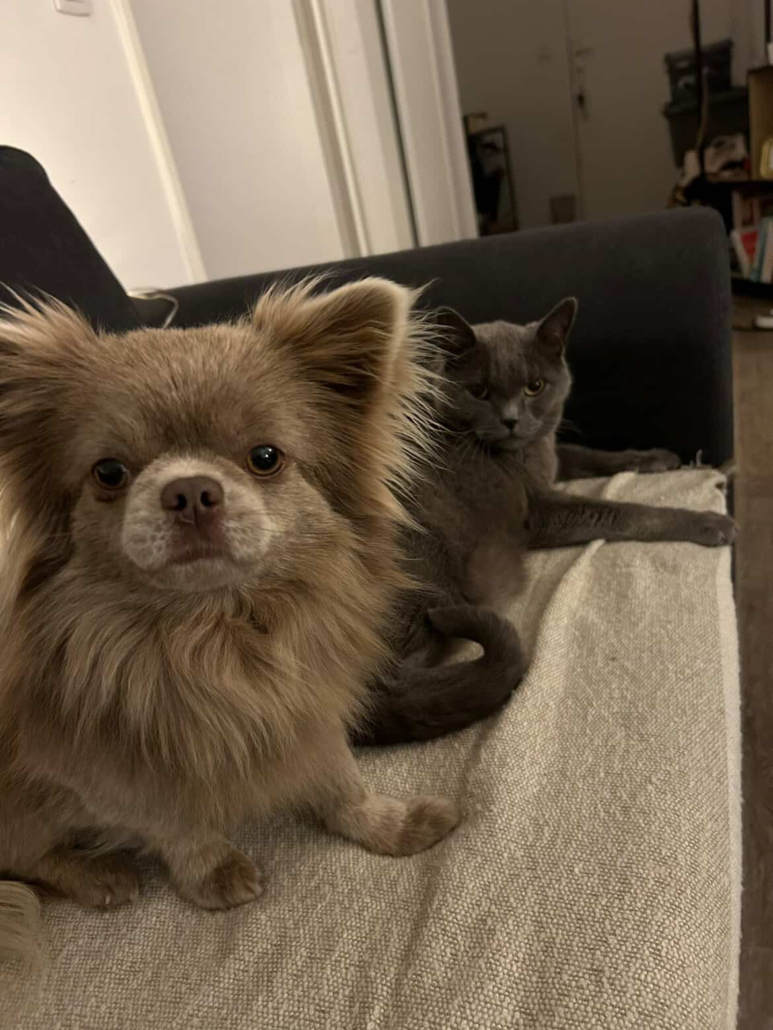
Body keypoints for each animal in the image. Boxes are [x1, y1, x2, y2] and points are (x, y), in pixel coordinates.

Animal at [0, 278, 459, 963]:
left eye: (265, 457)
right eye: (108, 473)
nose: (190, 490)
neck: (212, 632)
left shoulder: (307, 710)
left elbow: (340, 780)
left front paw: (385, 824)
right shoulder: (100, 763)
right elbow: (171, 819)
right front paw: (211, 871)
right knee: (26, 860)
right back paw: (94, 873)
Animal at [359, 298, 735, 746]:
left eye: (534, 387)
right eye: (479, 391)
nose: (511, 420)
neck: (519, 454)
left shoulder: (549, 455)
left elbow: (587, 453)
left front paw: (656, 457)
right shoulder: (538, 513)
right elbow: (623, 511)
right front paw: (710, 522)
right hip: (429, 572)